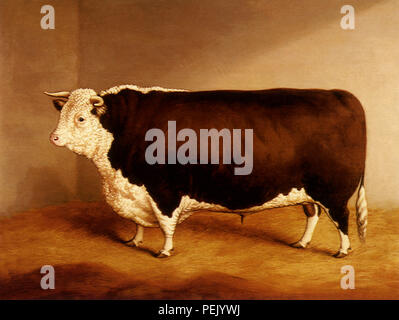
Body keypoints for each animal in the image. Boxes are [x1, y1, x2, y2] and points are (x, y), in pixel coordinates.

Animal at [44, 84, 368, 258]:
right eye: (62, 113)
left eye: (81, 118)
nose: (54, 138)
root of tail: (339, 94)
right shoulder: (136, 193)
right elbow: (138, 222)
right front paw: (135, 240)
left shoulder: (164, 190)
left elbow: (166, 224)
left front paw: (164, 250)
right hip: (307, 190)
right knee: (312, 214)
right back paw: (301, 243)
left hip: (334, 191)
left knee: (342, 220)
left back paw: (343, 251)